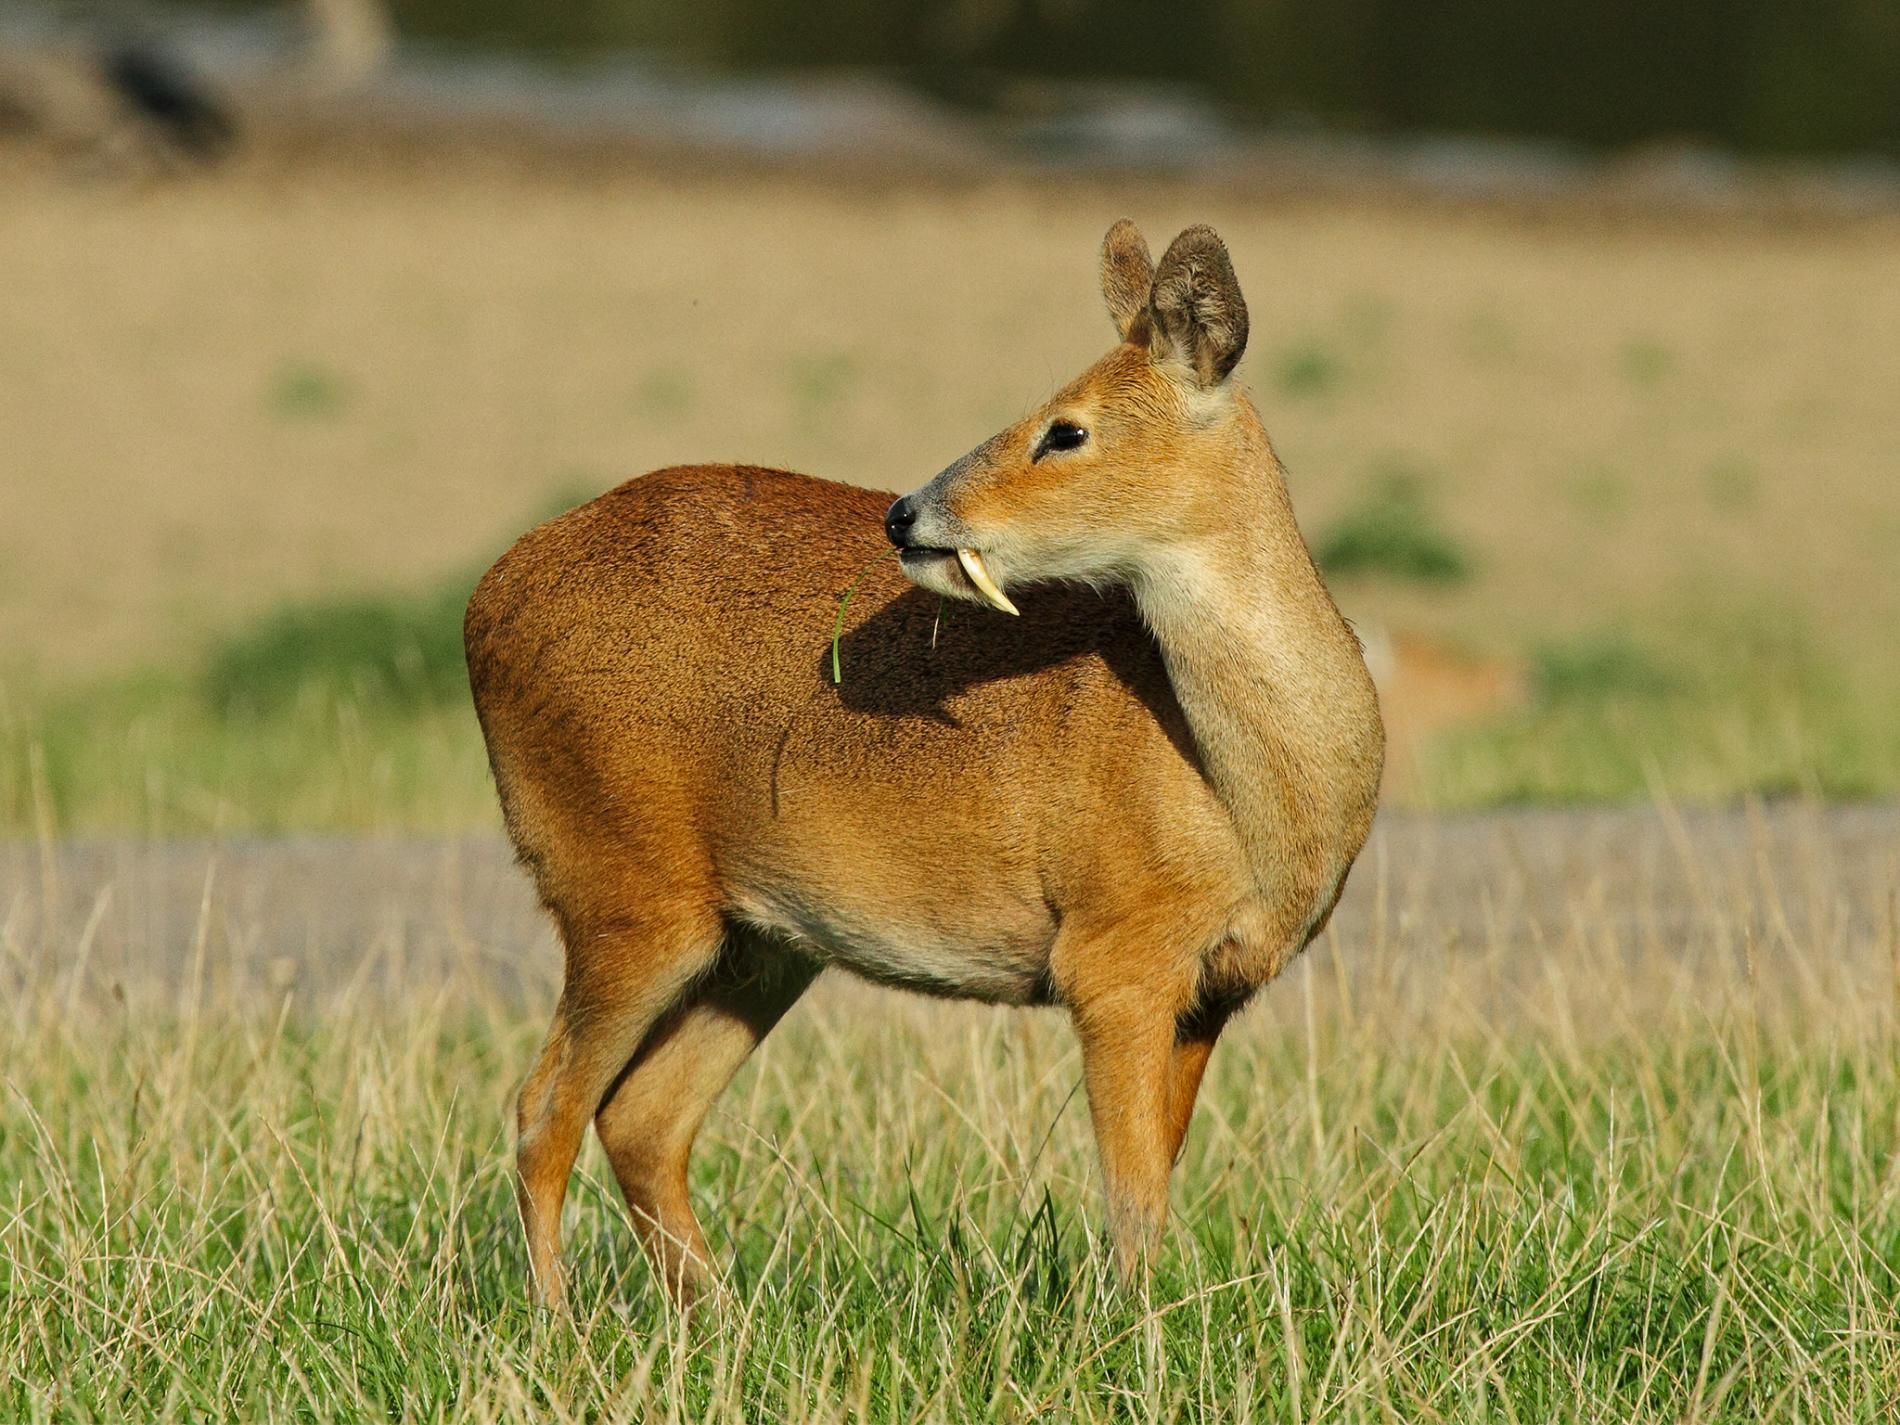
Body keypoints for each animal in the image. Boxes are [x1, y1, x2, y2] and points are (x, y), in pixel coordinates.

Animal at [459, 220, 1383, 1307]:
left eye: (1065, 431)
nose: (906, 513)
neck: (1246, 794)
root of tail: (486, 600)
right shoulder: (1111, 955)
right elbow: (1132, 1197)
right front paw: (1131, 1329)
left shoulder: (1213, 988)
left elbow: (1154, 1176)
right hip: (620, 890)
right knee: (542, 1111)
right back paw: (561, 1324)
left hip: (757, 942)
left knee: (639, 1118)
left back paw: (720, 1319)